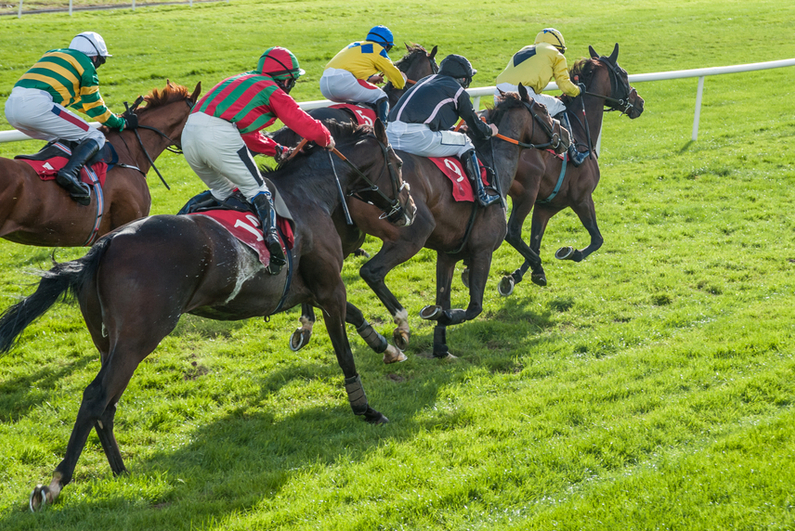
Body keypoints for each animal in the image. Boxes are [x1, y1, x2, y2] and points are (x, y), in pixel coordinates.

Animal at [0, 120, 420, 512]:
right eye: (398, 163)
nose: (411, 209)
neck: (308, 195)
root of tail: (104, 244)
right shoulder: (329, 288)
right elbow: (345, 351)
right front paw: (366, 408)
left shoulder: (312, 289)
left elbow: (355, 314)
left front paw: (390, 347)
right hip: (138, 338)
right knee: (95, 397)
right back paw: (55, 484)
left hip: (109, 342)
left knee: (108, 404)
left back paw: (121, 471)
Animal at [282, 87, 568, 360]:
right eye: (543, 108)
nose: (565, 136)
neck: (492, 165)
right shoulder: (482, 251)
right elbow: (473, 307)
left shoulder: (448, 254)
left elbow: (445, 295)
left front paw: (441, 347)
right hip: (413, 232)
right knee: (371, 272)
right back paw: (400, 325)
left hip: (342, 239)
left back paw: (306, 325)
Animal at [498, 44, 648, 296]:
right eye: (624, 74)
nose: (640, 102)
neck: (579, 129)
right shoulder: (581, 198)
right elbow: (597, 239)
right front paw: (569, 252)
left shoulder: (545, 206)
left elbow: (535, 243)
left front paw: (522, 274)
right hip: (525, 194)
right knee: (512, 231)